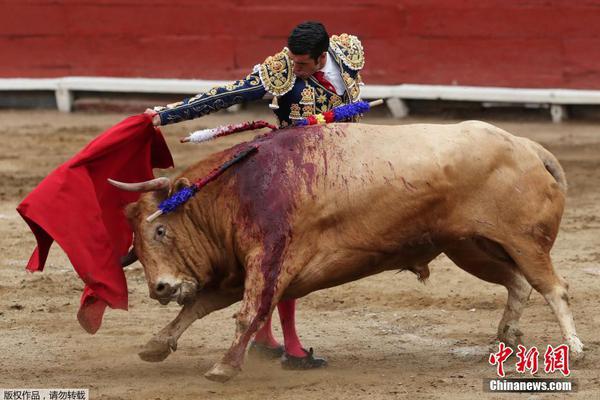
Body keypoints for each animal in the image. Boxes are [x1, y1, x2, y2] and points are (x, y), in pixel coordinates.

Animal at [110, 121, 584, 382]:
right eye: (135, 244)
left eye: (161, 230)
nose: (160, 289)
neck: (235, 189)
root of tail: (527, 147)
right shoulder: (238, 273)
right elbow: (199, 307)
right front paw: (156, 345)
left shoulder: (268, 259)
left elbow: (248, 313)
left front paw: (224, 368)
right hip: (470, 248)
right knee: (518, 283)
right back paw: (507, 336)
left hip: (522, 241)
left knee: (552, 287)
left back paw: (574, 349)